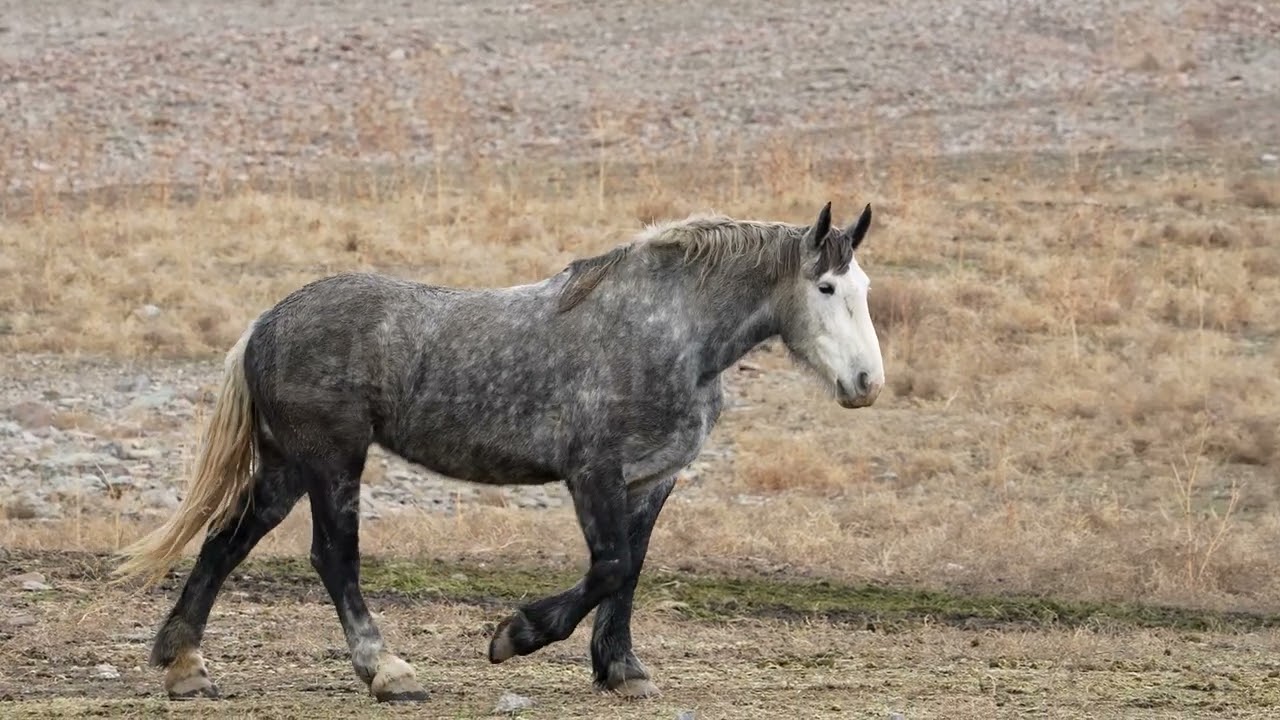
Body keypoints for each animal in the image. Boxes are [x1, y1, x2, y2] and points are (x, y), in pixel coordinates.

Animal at [113, 200, 885, 703]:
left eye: (865, 289)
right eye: (825, 287)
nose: (866, 383)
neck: (666, 332)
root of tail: (264, 325)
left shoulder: (651, 481)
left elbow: (630, 571)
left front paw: (622, 670)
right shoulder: (592, 474)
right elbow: (609, 567)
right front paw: (515, 635)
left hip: (285, 467)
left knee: (224, 541)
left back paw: (185, 665)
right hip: (332, 463)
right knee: (332, 559)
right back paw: (387, 670)